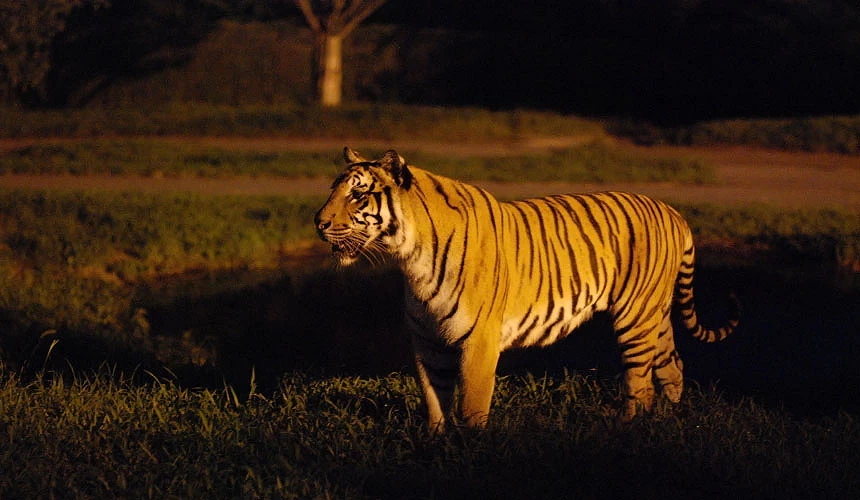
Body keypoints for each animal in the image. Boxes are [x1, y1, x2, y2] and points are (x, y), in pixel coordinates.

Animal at [315, 147, 739, 433]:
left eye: (357, 194)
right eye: (334, 190)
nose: (318, 222)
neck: (410, 255)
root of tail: (673, 210)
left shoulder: (478, 340)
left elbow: (471, 406)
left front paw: (468, 451)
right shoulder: (426, 341)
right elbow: (435, 402)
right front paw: (435, 446)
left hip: (634, 318)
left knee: (641, 383)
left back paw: (627, 426)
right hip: (655, 314)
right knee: (673, 366)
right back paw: (671, 422)